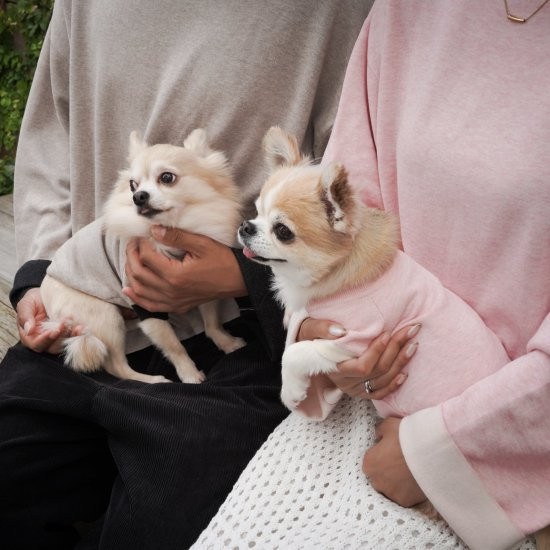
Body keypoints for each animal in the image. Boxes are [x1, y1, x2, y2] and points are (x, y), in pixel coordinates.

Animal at [40, 131, 245, 386]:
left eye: (166, 177)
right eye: (132, 185)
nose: (138, 196)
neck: (173, 232)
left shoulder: (204, 287)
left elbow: (212, 322)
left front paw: (226, 342)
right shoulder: (146, 305)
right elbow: (174, 347)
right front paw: (189, 375)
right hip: (104, 317)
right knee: (117, 367)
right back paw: (153, 381)